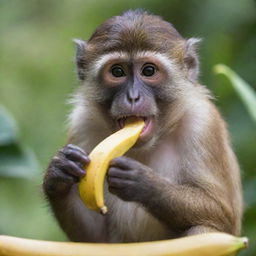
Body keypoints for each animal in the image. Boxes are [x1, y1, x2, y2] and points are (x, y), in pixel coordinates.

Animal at [42, 9, 242, 242]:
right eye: (117, 72)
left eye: (148, 71)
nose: (133, 97)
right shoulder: (81, 124)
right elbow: (94, 238)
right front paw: (58, 172)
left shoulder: (203, 123)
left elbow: (223, 216)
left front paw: (144, 184)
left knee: (204, 230)